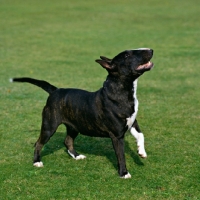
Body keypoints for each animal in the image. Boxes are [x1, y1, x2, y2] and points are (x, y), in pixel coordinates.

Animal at [10, 48, 153, 178]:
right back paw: (37, 161)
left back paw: (77, 156)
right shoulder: (117, 135)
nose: (150, 50)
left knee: (67, 140)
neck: (122, 91)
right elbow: (121, 155)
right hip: (49, 126)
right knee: (39, 142)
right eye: (127, 55)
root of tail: (55, 91)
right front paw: (124, 173)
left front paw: (141, 152)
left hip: (74, 126)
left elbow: (141, 135)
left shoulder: (133, 122)